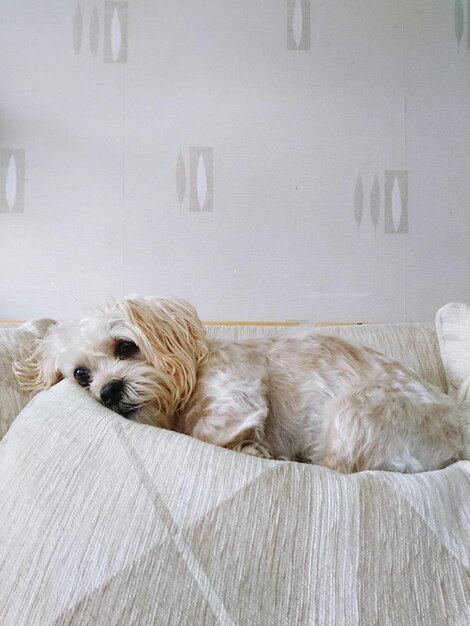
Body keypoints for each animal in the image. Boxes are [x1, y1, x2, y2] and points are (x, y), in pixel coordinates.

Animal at [13, 294, 466, 470]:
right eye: (81, 375)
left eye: (126, 346)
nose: (107, 392)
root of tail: (458, 435)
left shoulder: (237, 394)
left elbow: (205, 431)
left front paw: (251, 447)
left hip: (356, 414)